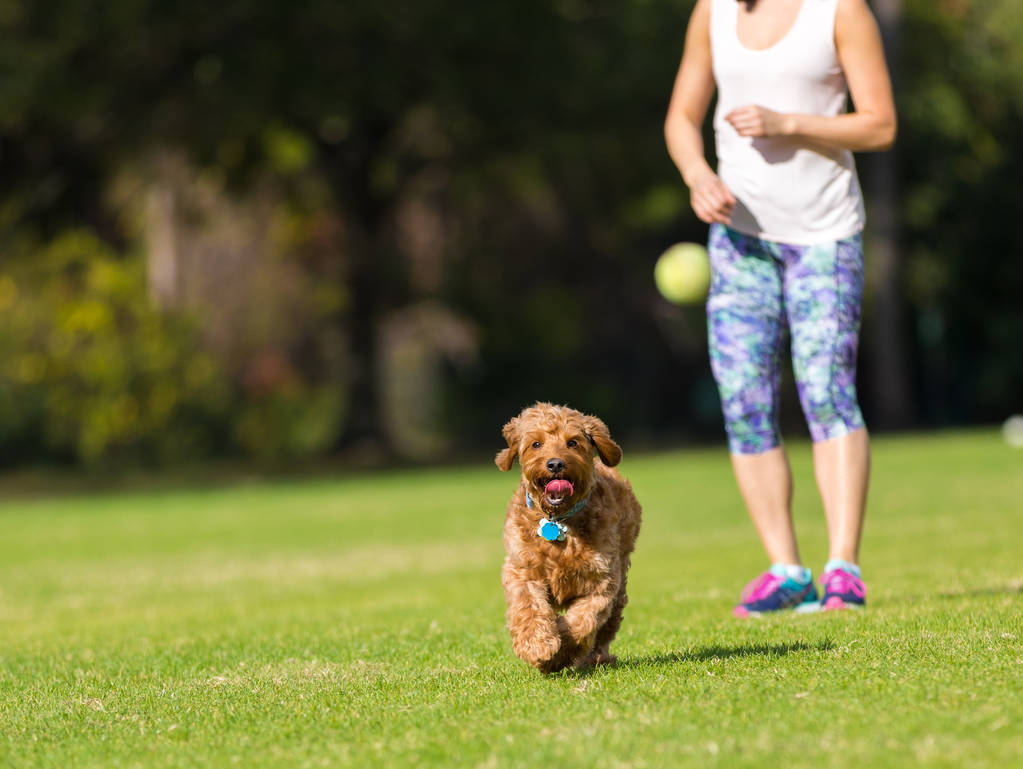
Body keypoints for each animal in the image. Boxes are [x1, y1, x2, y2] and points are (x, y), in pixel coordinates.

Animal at [495, 402, 638, 670]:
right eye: (536, 444)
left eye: (572, 442)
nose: (555, 464)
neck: (557, 521)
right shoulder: (522, 570)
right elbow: (528, 607)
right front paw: (538, 645)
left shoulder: (601, 580)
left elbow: (583, 621)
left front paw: (561, 652)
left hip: (619, 586)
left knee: (606, 629)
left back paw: (598, 658)